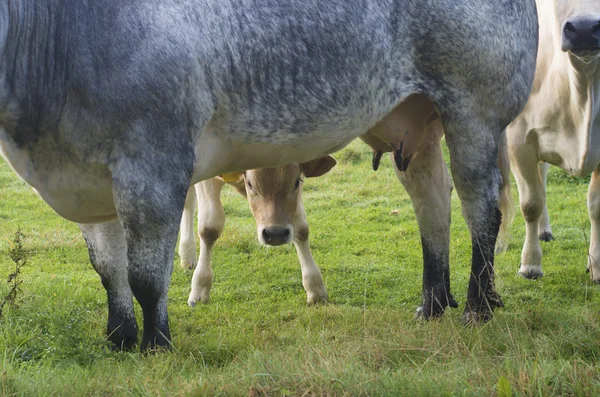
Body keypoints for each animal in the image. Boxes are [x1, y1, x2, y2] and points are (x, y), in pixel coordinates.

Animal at [178, 155, 338, 304]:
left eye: (296, 182)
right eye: (250, 184)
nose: (276, 233)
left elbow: (301, 229)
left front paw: (315, 288)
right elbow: (209, 228)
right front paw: (200, 287)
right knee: (188, 202)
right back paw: (187, 254)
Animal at [506, 0, 600, 278]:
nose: (584, 29)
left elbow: (596, 205)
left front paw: (596, 265)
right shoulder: (519, 139)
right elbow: (530, 203)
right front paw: (530, 264)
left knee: (543, 177)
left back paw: (544, 231)